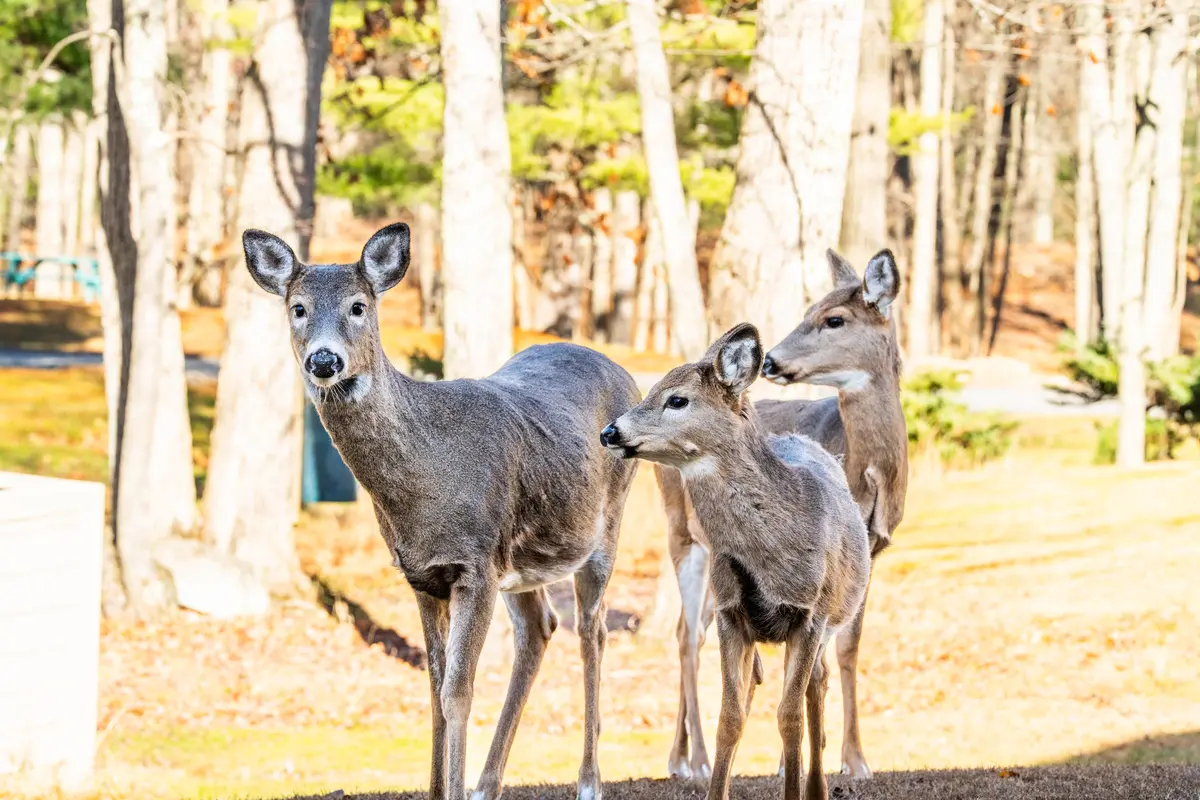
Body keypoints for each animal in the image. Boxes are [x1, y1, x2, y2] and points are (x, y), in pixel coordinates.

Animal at [242, 222, 641, 800]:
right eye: (297, 307)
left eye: (359, 305)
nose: (324, 361)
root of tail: (623, 370)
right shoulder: (423, 574)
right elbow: (433, 686)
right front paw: (440, 787)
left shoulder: (475, 565)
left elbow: (458, 690)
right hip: (520, 563)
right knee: (540, 627)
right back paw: (487, 783)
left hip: (605, 524)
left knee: (593, 631)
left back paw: (589, 781)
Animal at [601, 323, 871, 800]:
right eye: (650, 390)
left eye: (677, 400)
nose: (610, 431)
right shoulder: (731, 614)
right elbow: (729, 718)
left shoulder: (810, 615)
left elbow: (788, 717)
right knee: (791, 682)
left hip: (830, 616)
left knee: (815, 687)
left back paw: (817, 786)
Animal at [654, 249, 907, 782]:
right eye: (808, 309)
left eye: (834, 319)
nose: (771, 360)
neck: (868, 469)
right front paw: (799, 760)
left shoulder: (870, 553)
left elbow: (848, 648)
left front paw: (854, 759)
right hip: (682, 534)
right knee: (689, 635)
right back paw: (696, 760)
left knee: (691, 630)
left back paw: (683, 756)